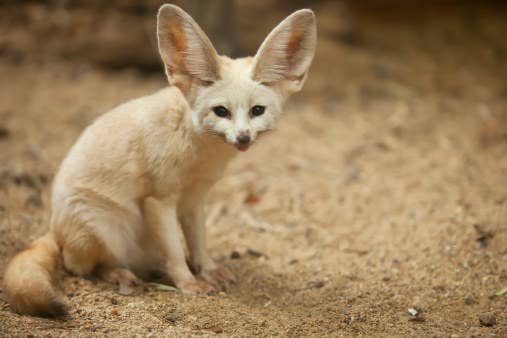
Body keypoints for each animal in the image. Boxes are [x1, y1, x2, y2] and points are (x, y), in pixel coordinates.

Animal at [1, 3, 316, 316]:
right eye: (221, 111)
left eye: (257, 111)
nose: (242, 138)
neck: (199, 155)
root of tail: (54, 227)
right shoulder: (159, 200)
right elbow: (175, 251)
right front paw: (188, 284)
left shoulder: (194, 200)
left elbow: (199, 242)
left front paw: (207, 270)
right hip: (105, 226)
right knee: (79, 266)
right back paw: (119, 274)